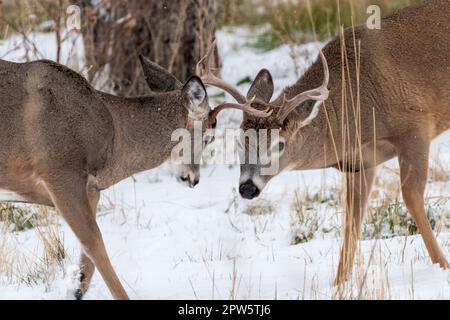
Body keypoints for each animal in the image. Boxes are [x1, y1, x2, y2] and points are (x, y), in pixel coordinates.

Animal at [0, 53, 216, 300]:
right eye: (209, 137)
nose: (194, 179)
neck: (113, 136)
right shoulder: (60, 171)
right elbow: (95, 243)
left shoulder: (91, 189)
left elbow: (86, 260)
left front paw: (76, 290)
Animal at [200, 0, 450, 284]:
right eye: (241, 142)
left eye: (280, 144)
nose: (247, 188)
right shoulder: (360, 161)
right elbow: (352, 219)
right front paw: (339, 283)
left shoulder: (415, 127)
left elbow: (411, 198)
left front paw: (442, 266)